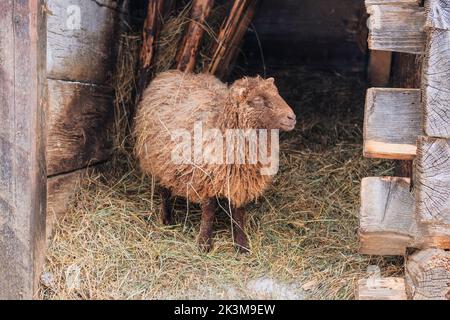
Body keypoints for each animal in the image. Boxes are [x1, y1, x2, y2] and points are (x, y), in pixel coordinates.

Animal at [134, 70, 296, 252]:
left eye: (277, 93)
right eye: (258, 100)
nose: (292, 117)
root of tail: (170, 73)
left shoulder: (239, 180)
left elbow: (238, 213)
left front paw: (241, 245)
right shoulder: (205, 176)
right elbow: (209, 211)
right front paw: (204, 243)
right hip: (159, 160)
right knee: (164, 190)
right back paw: (167, 219)